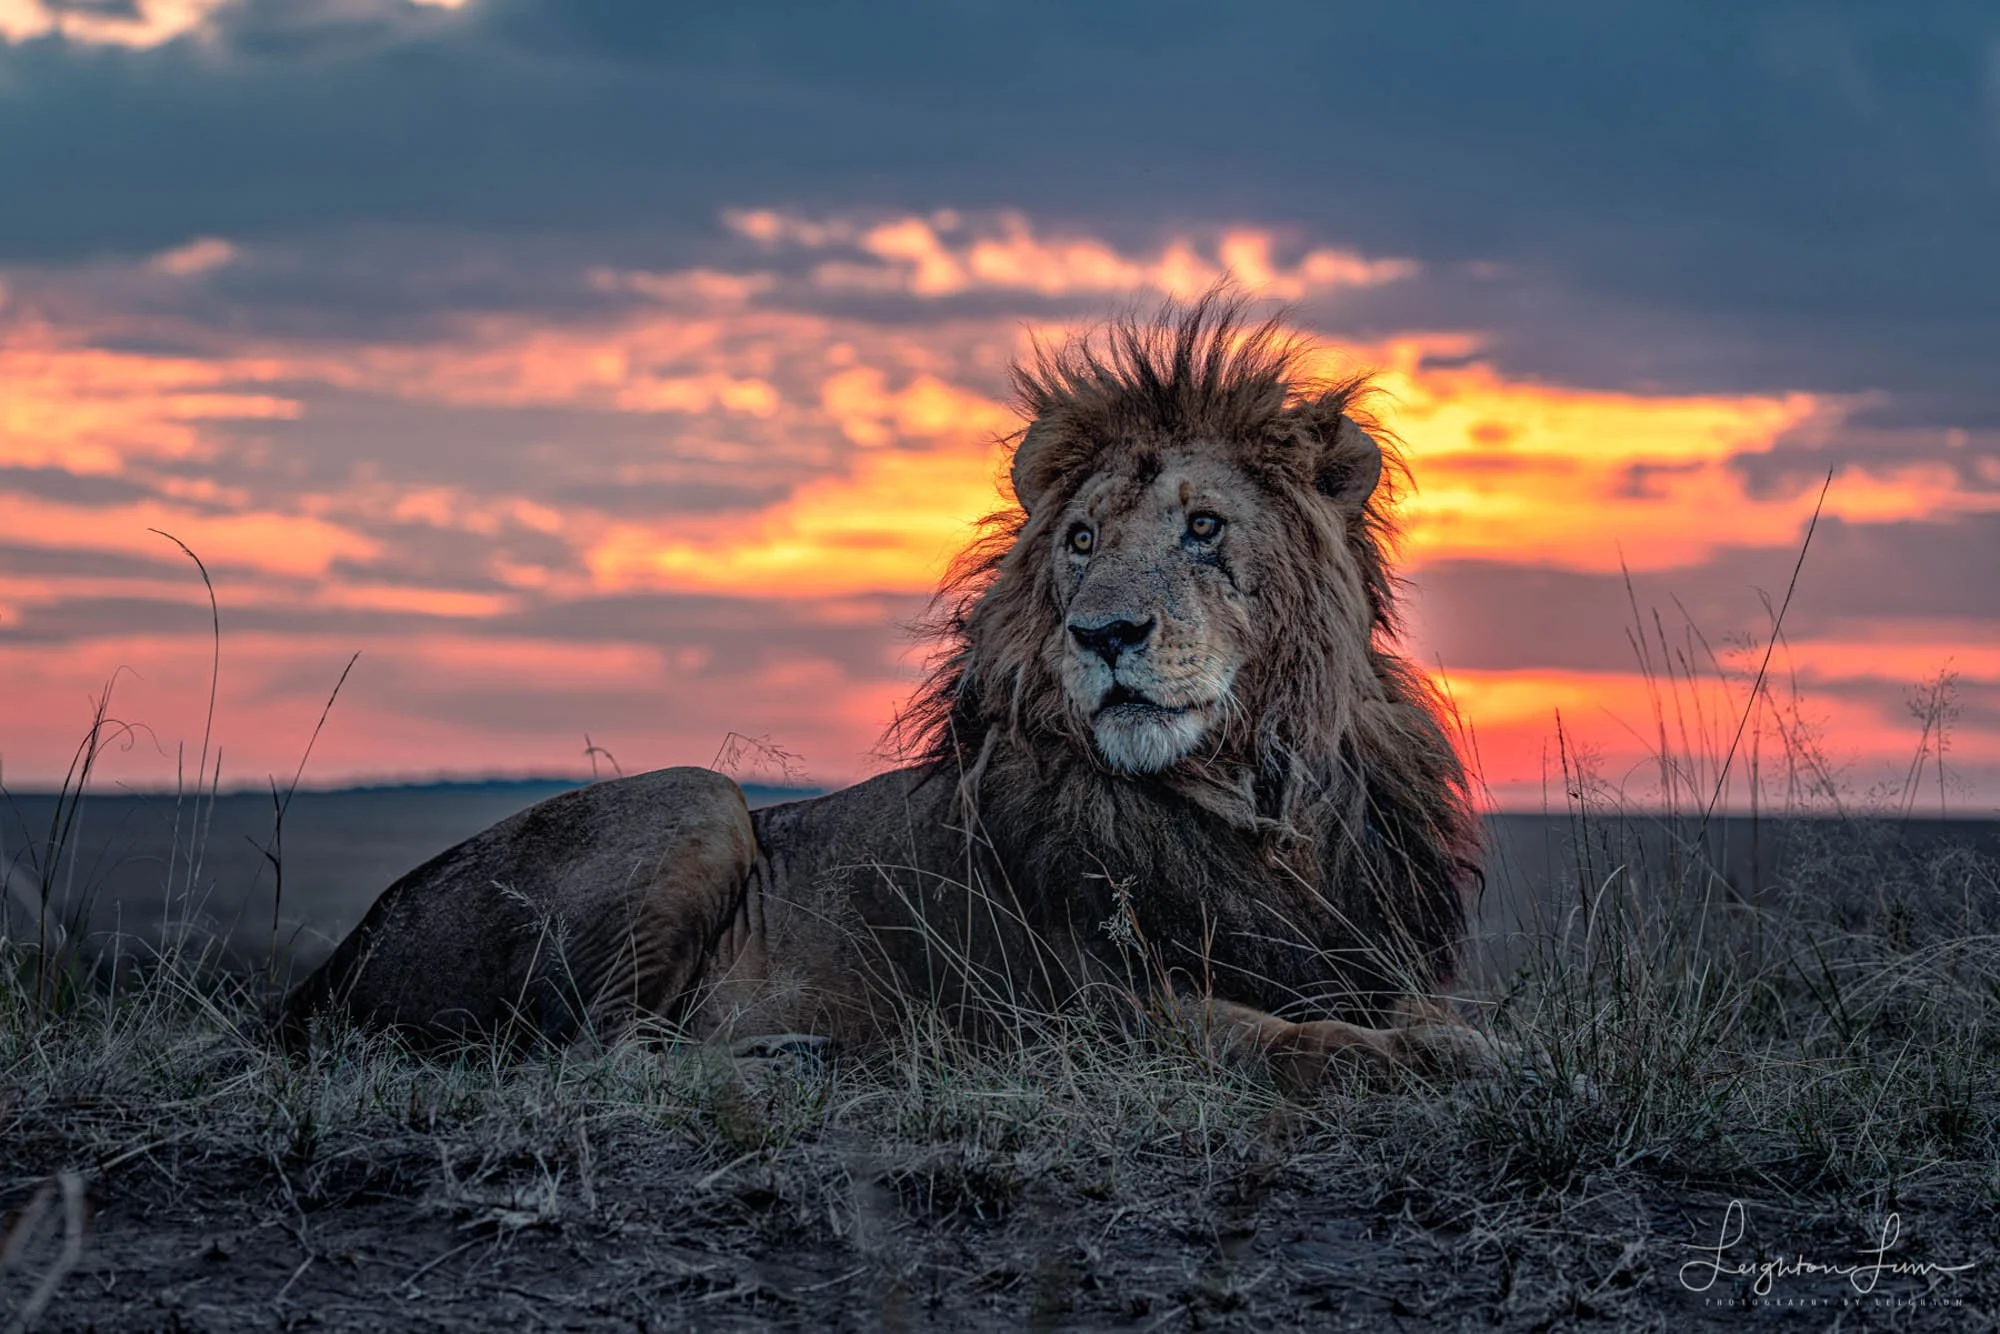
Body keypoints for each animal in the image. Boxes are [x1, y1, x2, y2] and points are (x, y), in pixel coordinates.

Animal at [282, 292, 1492, 1084]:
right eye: (1083, 541)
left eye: (1203, 528)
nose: (1103, 633)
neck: (1257, 803)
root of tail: (320, 980)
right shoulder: (1090, 1015)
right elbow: (1291, 1039)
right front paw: (1435, 1051)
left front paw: (1443, 1032)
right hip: (697, 798)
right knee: (599, 1060)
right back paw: (784, 1060)